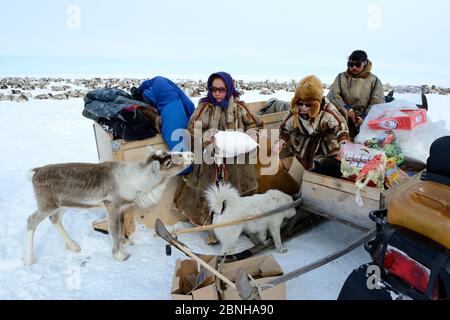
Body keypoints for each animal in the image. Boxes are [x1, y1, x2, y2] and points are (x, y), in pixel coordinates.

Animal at [24, 148, 192, 264]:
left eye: (167, 152)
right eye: (168, 162)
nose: (190, 154)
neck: (138, 182)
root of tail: (35, 172)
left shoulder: (121, 208)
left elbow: (121, 225)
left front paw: (125, 242)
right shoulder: (111, 205)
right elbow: (114, 228)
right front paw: (119, 255)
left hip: (62, 205)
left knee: (55, 219)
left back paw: (73, 246)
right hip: (47, 205)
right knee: (31, 220)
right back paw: (29, 260)